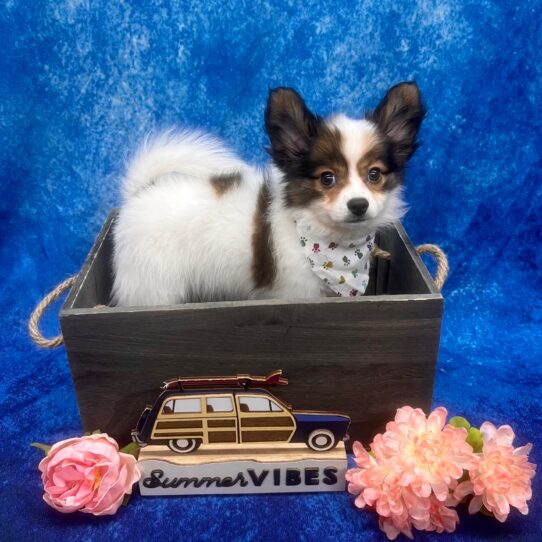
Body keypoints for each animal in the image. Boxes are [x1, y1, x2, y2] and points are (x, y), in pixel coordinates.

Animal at [112, 83, 428, 308]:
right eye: (327, 178)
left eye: (374, 175)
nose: (358, 205)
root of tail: (140, 191)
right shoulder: (299, 292)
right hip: (154, 286)